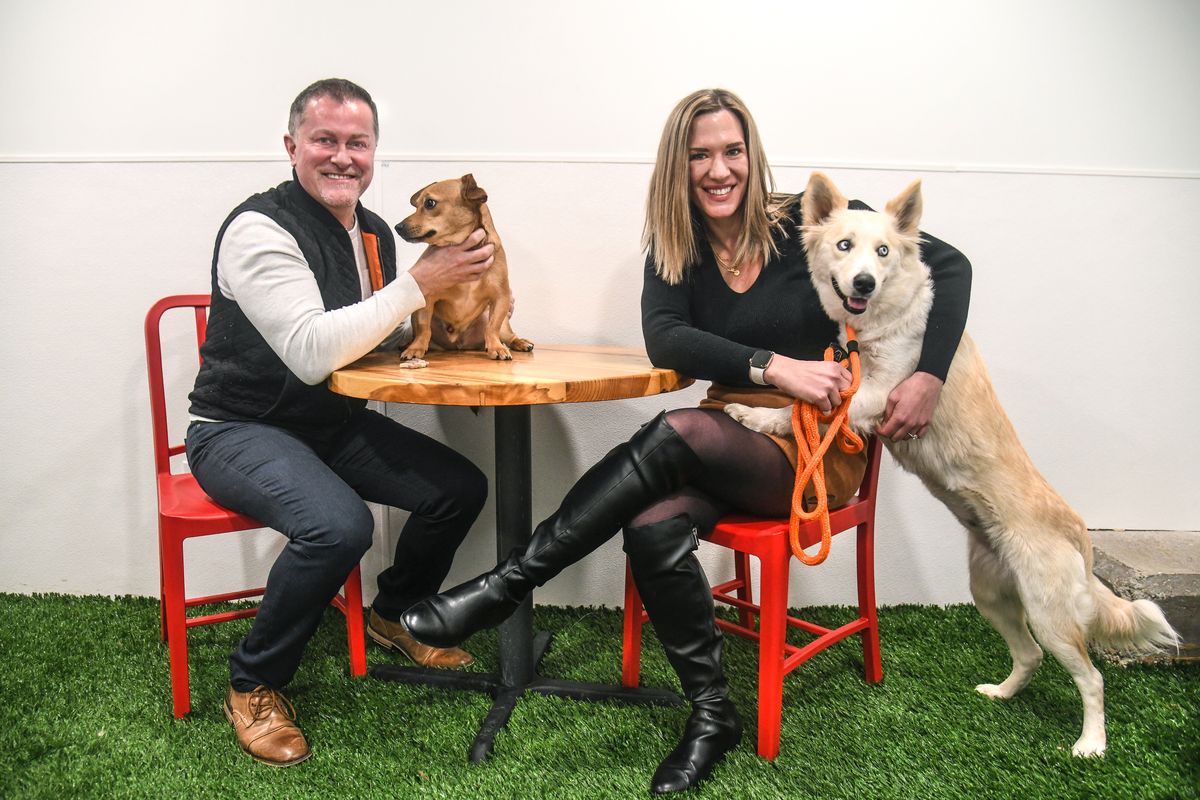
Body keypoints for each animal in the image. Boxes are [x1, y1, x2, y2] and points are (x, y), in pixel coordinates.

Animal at [396, 175, 532, 367]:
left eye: (430, 203)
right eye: (417, 206)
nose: (397, 227)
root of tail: (459, 345)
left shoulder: (501, 296)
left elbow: (492, 327)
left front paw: (496, 347)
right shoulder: (426, 299)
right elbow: (423, 328)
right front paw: (415, 348)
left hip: (500, 321)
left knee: (506, 333)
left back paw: (519, 342)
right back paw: (409, 344)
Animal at [724, 170, 1176, 758]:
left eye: (884, 251)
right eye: (844, 245)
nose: (864, 283)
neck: (880, 324)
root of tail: (1079, 534)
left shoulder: (882, 395)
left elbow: (820, 410)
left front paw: (760, 419)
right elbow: (814, 404)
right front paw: (756, 413)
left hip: (1051, 614)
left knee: (1092, 678)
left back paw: (1091, 743)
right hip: (991, 594)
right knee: (1029, 655)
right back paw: (1002, 694)